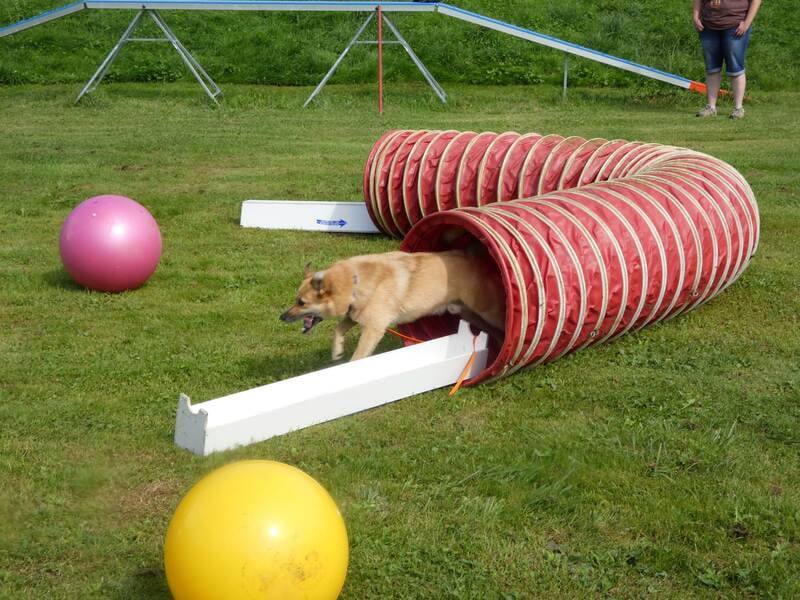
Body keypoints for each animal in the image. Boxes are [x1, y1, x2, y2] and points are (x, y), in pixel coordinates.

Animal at [282, 250, 504, 360]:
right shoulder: (355, 315)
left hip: (488, 311)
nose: (281, 317)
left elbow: (358, 356)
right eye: (296, 299)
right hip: (468, 313)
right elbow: (338, 329)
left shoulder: (373, 329)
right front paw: (337, 351)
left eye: (301, 303)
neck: (353, 282)